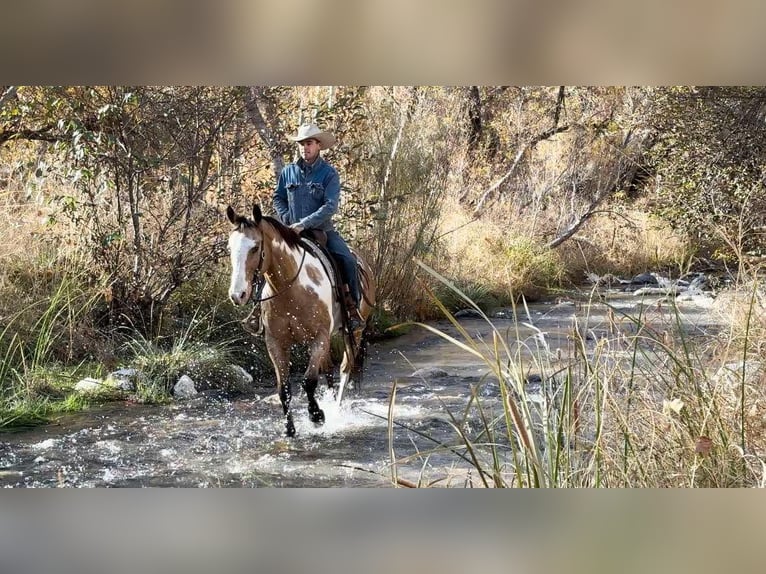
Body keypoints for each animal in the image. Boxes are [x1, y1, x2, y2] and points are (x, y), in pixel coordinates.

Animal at [225, 204, 376, 437]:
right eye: (229, 248)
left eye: (255, 247)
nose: (237, 295)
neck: (290, 288)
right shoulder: (275, 343)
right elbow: (284, 388)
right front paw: (290, 429)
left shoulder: (319, 338)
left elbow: (308, 381)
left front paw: (317, 416)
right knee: (328, 369)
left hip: (354, 332)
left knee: (344, 368)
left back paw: (336, 411)